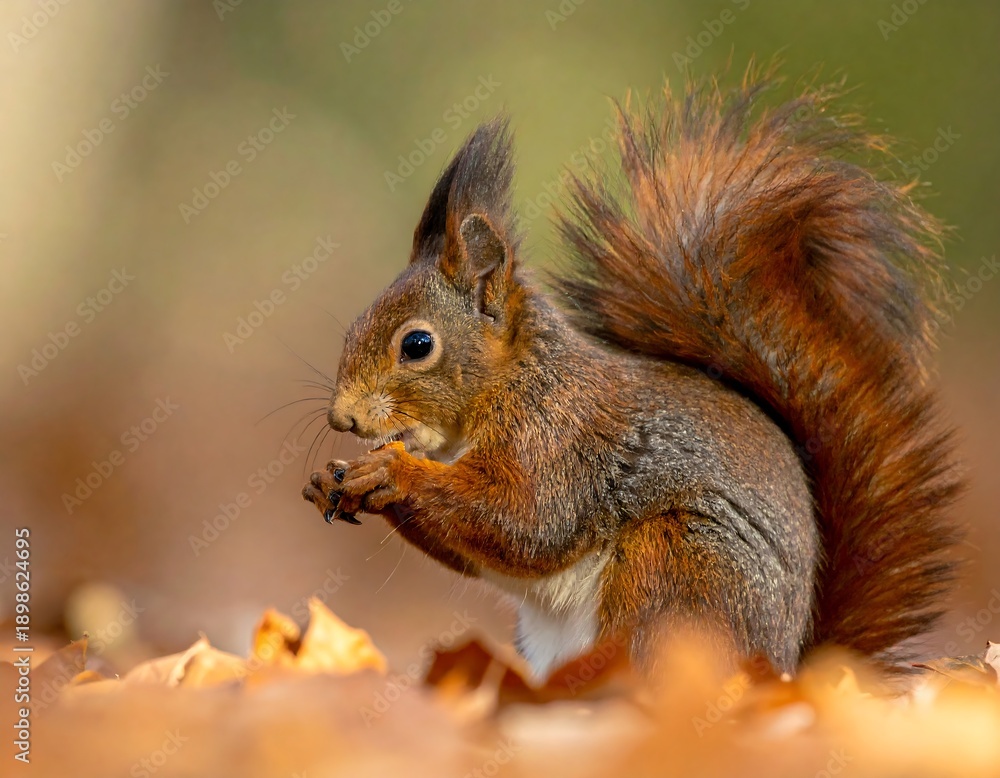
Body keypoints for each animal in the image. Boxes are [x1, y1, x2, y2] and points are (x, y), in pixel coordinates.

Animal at [302, 68, 963, 680]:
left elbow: (525, 521)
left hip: (679, 559)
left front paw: (389, 470)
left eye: (417, 345)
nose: (342, 417)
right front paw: (333, 479)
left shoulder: (560, 443)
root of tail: (782, 668)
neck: (513, 383)